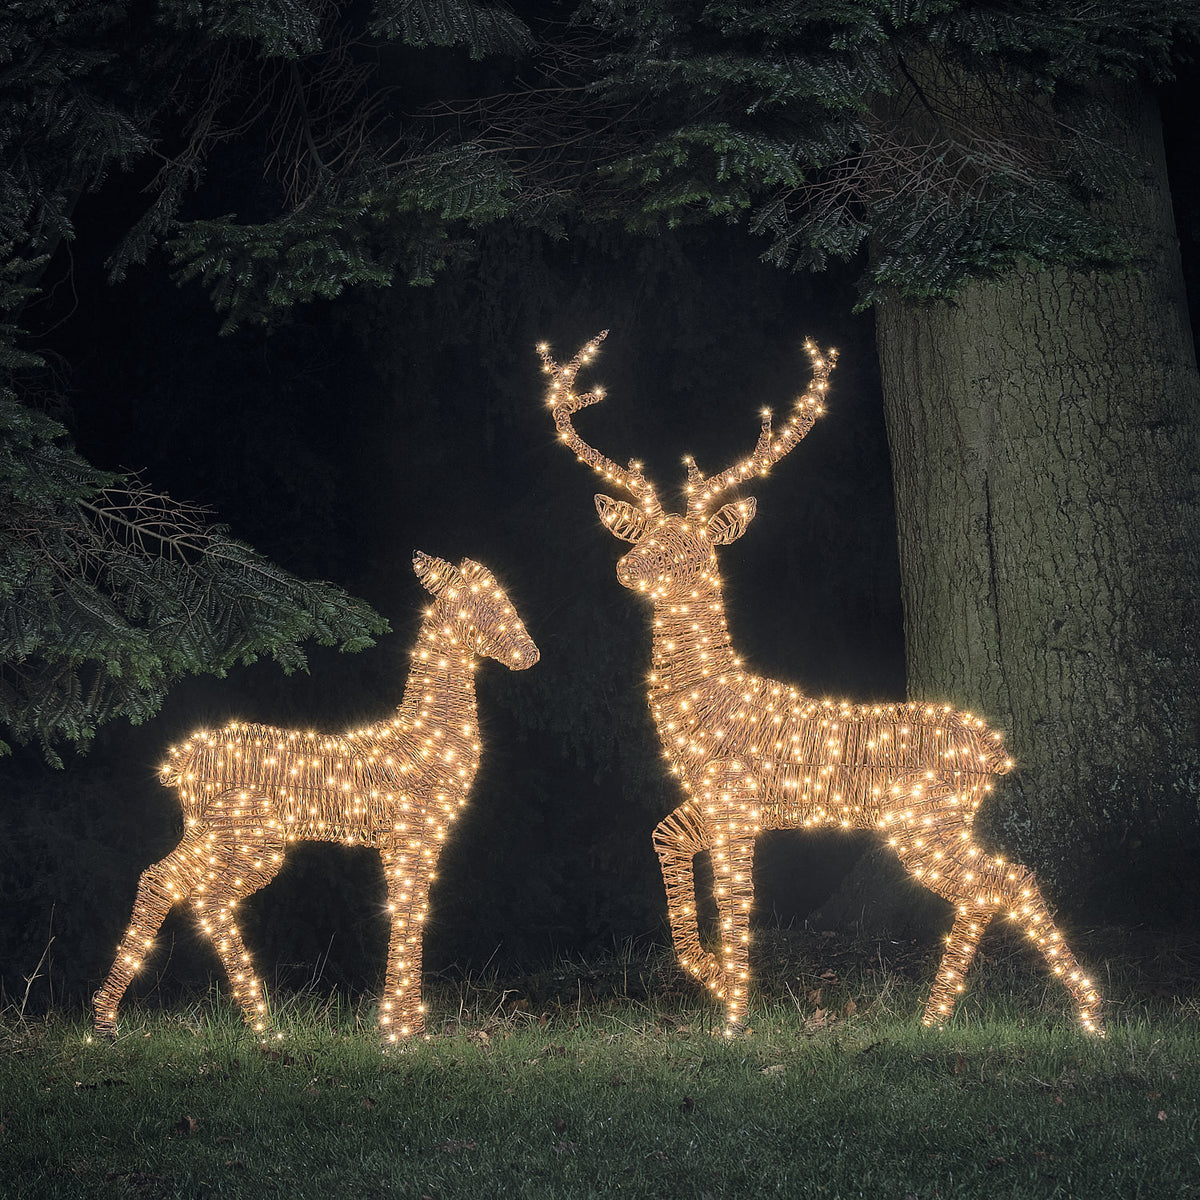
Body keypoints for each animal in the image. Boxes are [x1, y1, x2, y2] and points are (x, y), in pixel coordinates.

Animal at [93, 552, 539, 1046]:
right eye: (485, 602)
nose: (530, 653)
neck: (424, 738)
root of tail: (183, 761)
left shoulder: (405, 841)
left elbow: (408, 911)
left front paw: (404, 1027)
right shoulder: (414, 833)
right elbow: (408, 911)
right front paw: (401, 1034)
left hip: (207, 833)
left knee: (160, 880)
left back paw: (107, 1019)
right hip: (252, 837)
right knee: (209, 898)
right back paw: (262, 1025)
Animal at [539, 332, 1103, 1037]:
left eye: (696, 548)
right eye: (646, 533)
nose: (630, 566)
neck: (706, 701)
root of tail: (996, 752)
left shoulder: (736, 800)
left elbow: (737, 901)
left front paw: (734, 1016)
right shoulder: (712, 800)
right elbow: (664, 841)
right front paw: (708, 977)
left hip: (924, 817)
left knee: (1006, 880)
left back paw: (1082, 1012)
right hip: (929, 821)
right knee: (997, 883)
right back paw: (942, 1016)